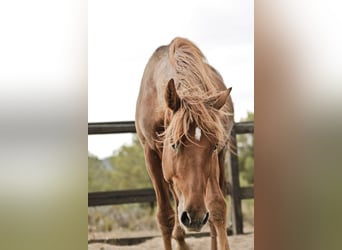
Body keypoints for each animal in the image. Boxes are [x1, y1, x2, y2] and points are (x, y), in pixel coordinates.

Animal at [135, 37, 234, 250]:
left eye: (213, 146)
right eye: (174, 144)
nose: (195, 217)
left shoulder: (215, 159)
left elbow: (217, 207)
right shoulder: (151, 154)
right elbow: (165, 216)